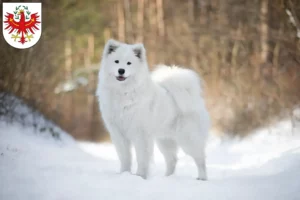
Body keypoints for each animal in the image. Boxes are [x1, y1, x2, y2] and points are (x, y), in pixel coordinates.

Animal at [97, 39, 210, 180]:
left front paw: (140, 176)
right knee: (172, 159)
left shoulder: (140, 134)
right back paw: (167, 178)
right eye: (116, 61)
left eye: (129, 63)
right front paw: (124, 173)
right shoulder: (118, 133)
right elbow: (125, 157)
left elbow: (142, 157)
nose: (121, 70)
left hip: (188, 138)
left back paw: (202, 178)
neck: (124, 92)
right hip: (165, 140)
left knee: (200, 158)